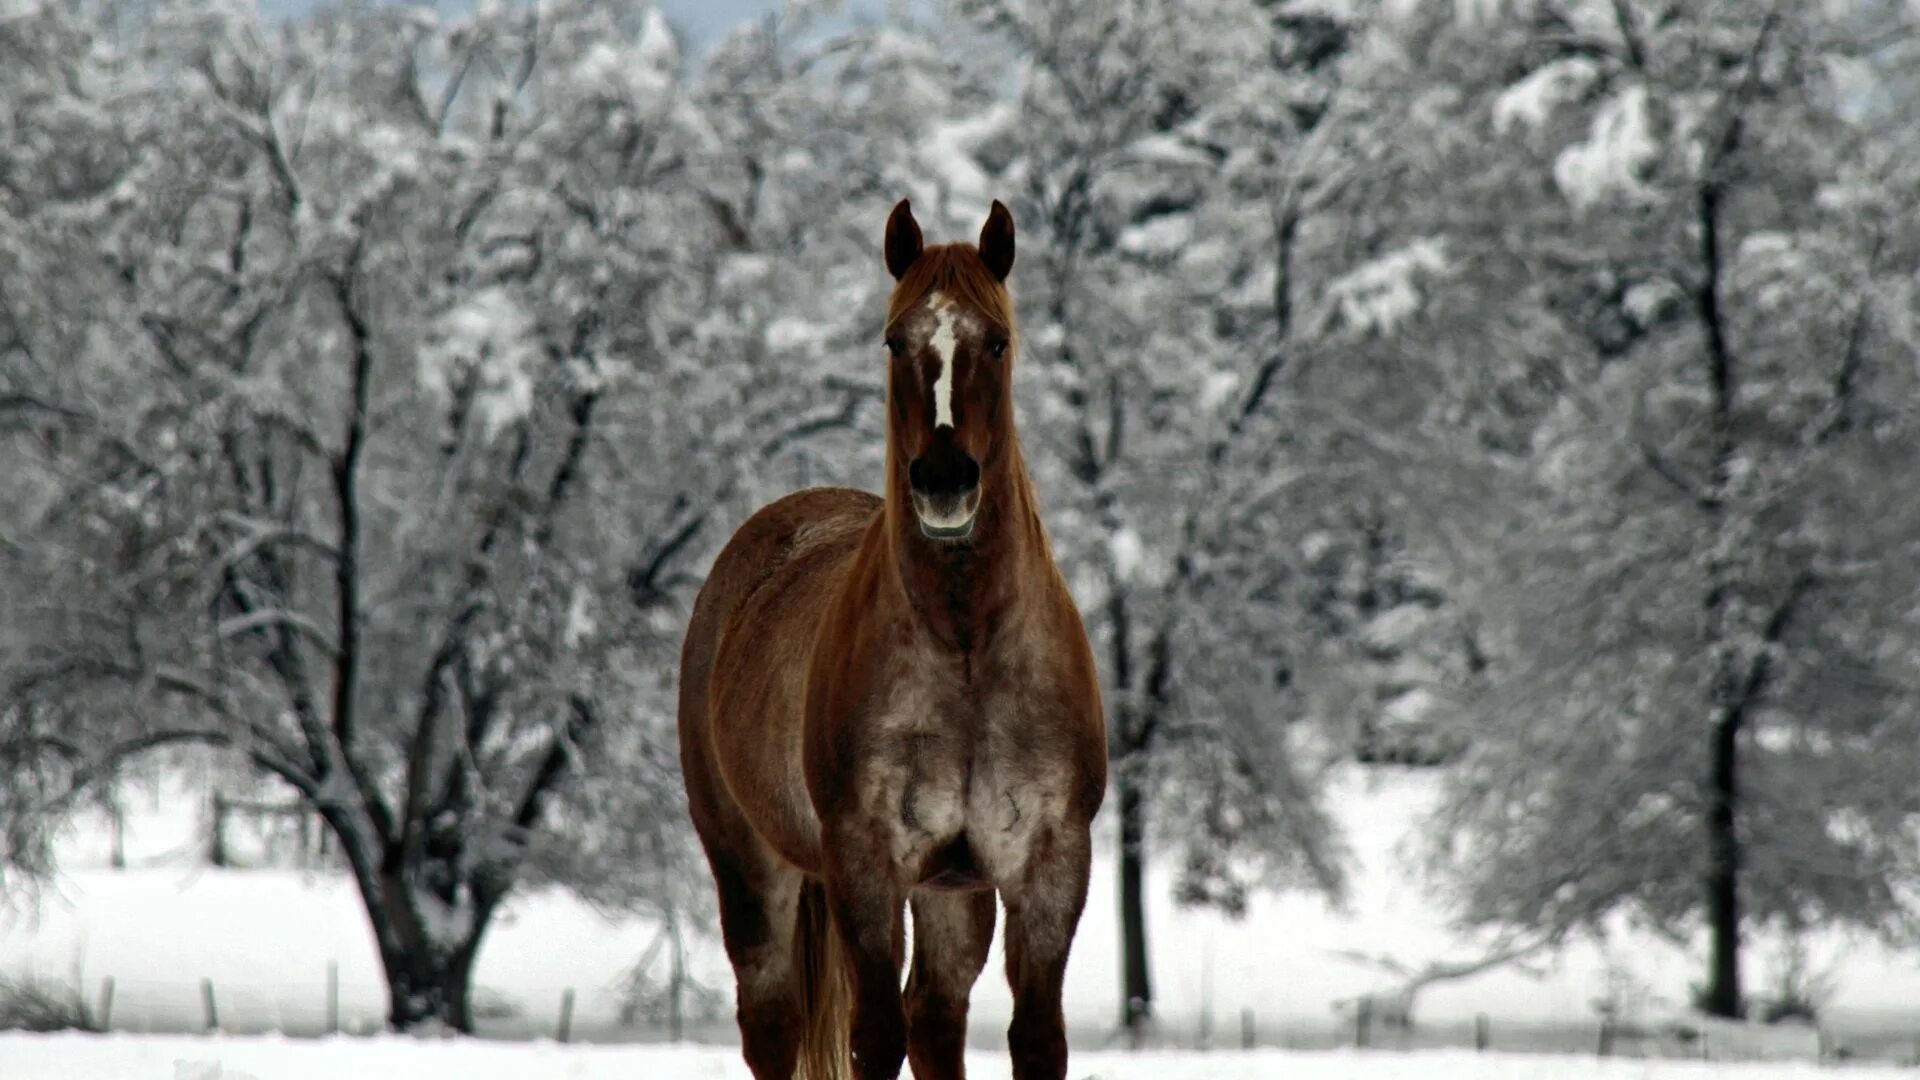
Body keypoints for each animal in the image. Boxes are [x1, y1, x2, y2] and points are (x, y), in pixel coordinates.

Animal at [683, 201, 1113, 1076]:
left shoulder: (1048, 864)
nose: (945, 480)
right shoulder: (865, 862)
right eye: (893, 340)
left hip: (954, 896)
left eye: (997, 340)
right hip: (750, 868)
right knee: (774, 1024)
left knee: (936, 1019)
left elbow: (1036, 1039)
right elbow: (873, 1038)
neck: (966, 648)